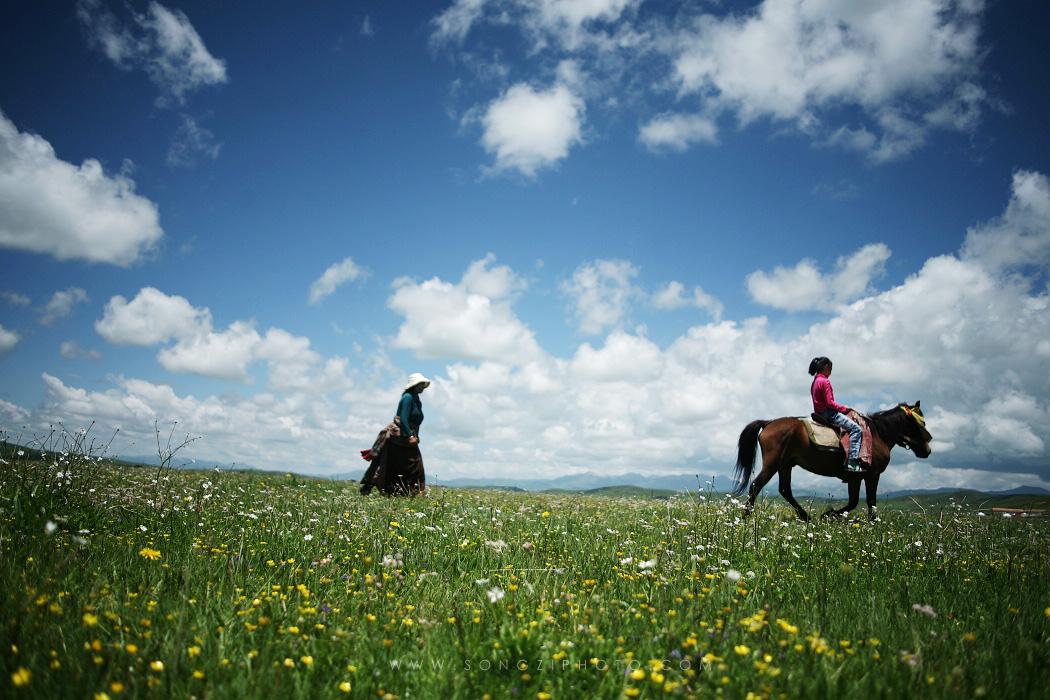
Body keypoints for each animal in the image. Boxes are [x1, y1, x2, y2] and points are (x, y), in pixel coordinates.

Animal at [734, 402, 932, 522]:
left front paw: (828, 515)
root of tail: (768, 423)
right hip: (773, 464)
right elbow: (869, 501)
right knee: (756, 485)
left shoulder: (855, 478)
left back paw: (805, 517)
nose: (928, 450)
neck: (878, 434)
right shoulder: (871, 475)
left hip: (785, 465)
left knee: (785, 490)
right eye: (920, 423)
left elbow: (854, 502)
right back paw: (745, 516)